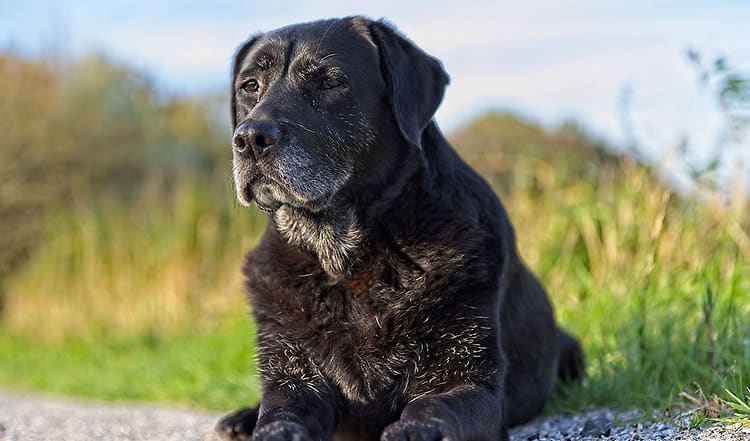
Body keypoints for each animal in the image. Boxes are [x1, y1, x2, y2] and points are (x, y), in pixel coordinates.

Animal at [217, 15, 588, 438]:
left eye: (330, 82)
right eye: (249, 86)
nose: (249, 137)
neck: (345, 260)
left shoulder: (469, 382)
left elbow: (433, 407)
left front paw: (412, 428)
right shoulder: (293, 377)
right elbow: (279, 414)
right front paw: (266, 426)